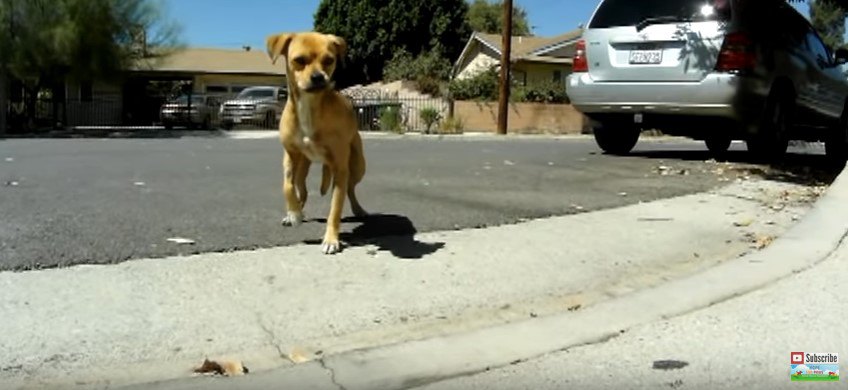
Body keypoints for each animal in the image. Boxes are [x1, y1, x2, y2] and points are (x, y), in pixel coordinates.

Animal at [268, 32, 368, 254]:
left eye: (329, 60)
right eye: (299, 60)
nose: (318, 77)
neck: (310, 107)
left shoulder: (340, 168)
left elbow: (335, 207)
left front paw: (331, 239)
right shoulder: (290, 156)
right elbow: (286, 186)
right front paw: (294, 213)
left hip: (357, 167)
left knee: (350, 189)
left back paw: (358, 209)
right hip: (301, 167)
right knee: (301, 189)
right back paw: (296, 212)